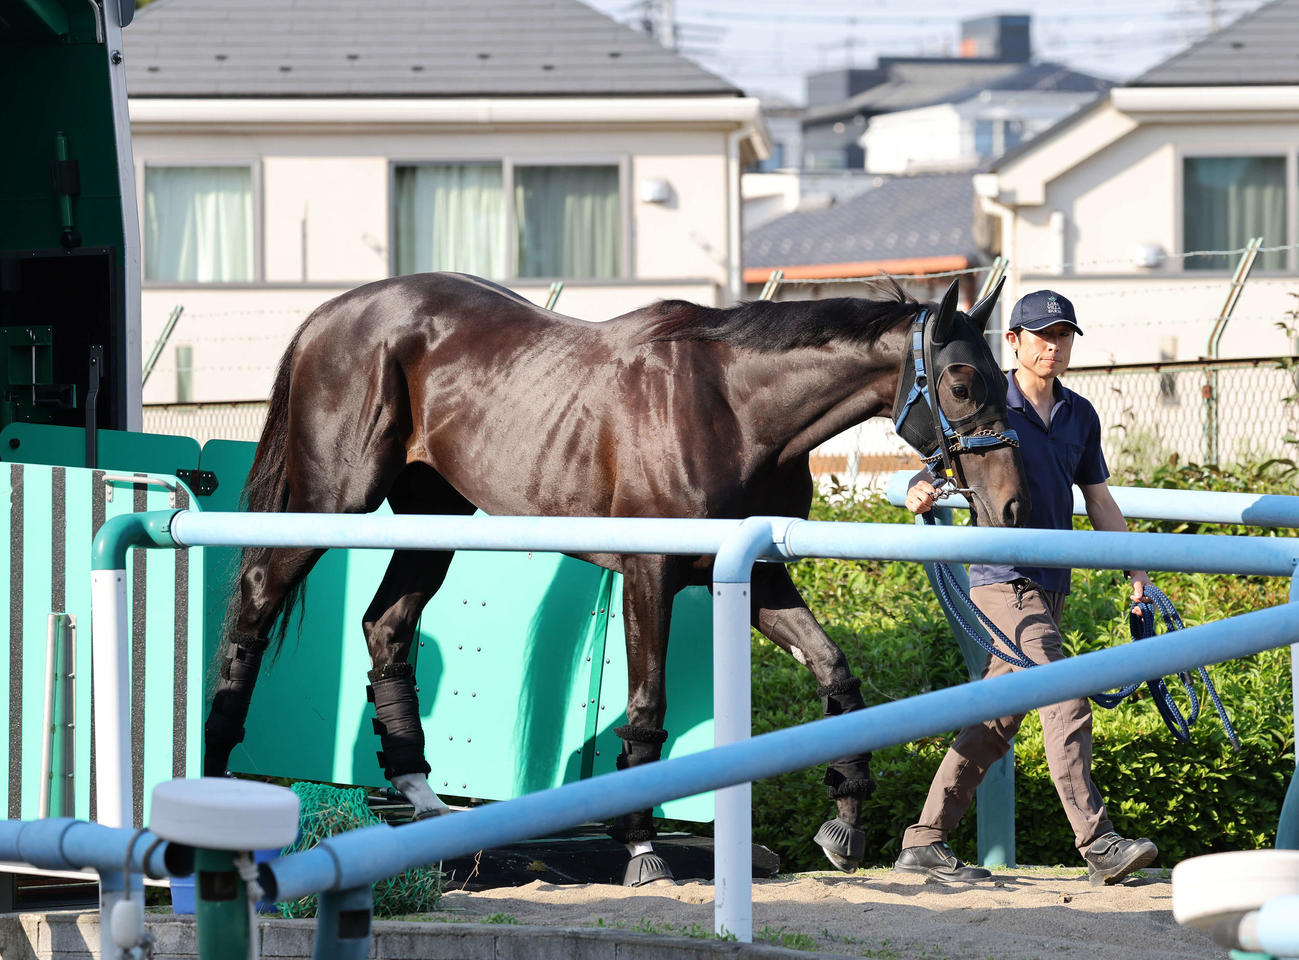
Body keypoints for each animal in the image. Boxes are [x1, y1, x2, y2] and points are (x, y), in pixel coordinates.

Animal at [204, 272, 1027, 885]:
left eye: (1002, 377)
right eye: (960, 382)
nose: (1012, 504)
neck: (734, 407)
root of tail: (329, 313)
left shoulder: (757, 575)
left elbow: (836, 674)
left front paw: (845, 820)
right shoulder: (649, 573)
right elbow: (647, 707)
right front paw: (639, 845)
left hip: (433, 514)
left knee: (387, 626)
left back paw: (422, 799)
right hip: (330, 500)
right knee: (256, 598)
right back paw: (213, 770)